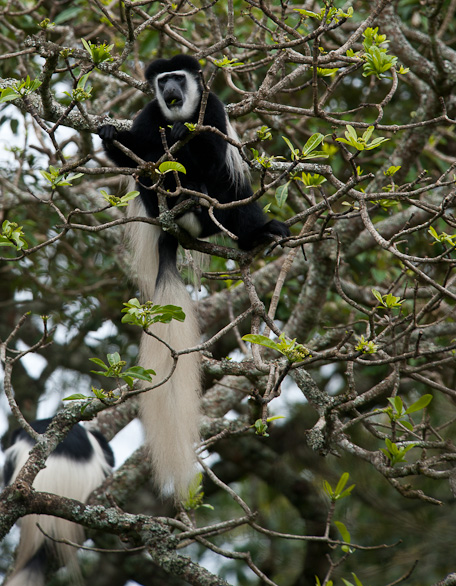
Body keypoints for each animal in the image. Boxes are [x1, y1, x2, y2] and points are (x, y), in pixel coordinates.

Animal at [99, 52, 288, 496]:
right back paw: (176, 201)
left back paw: (253, 233)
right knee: (156, 173)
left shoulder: (212, 110)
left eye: (179, 79)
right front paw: (109, 135)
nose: (171, 90)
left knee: (231, 187)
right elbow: (137, 155)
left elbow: (216, 153)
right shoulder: (149, 116)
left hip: (227, 203)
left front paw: (184, 131)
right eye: (163, 80)